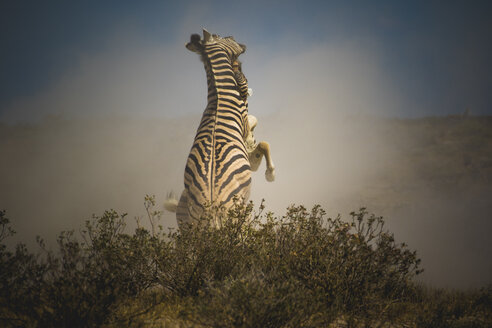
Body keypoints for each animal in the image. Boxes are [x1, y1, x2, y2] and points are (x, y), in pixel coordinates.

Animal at [164, 28, 258, 228]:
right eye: (225, 38)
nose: (244, 44)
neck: (218, 95)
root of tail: (212, 203)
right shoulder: (243, 116)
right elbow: (252, 124)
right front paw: (252, 147)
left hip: (196, 224)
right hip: (239, 214)